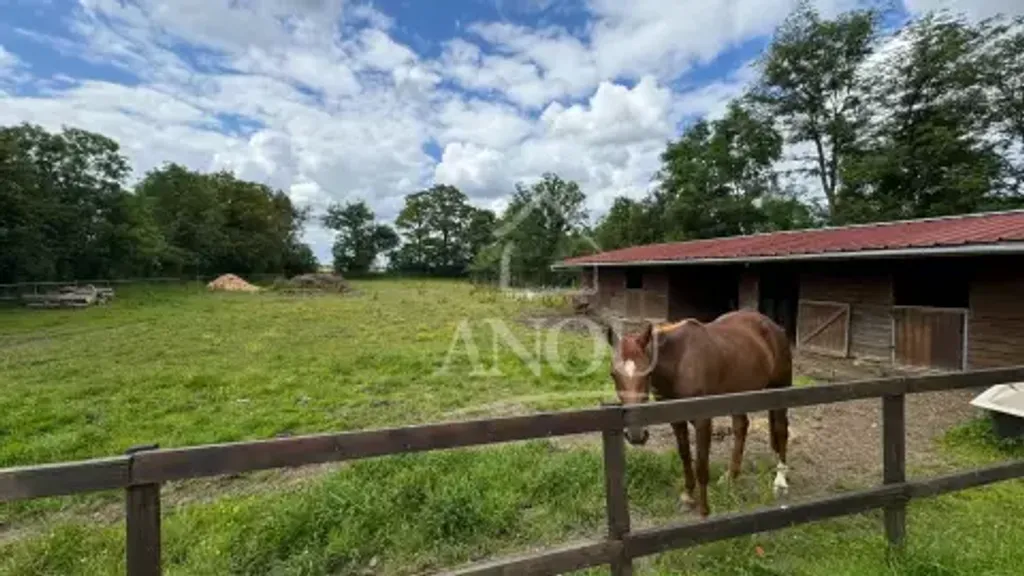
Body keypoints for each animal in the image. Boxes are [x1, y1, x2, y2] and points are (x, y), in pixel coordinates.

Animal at [602, 309, 794, 516]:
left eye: (648, 372)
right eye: (613, 374)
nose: (636, 435)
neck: (680, 361)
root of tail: (774, 326)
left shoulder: (702, 420)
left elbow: (701, 463)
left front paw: (704, 510)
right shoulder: (676, 419)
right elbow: (685, 456)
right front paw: (688, 496)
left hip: (780, 390)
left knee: (781, 431)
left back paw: (780, 481)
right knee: (741, 427)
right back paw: (731, 477)